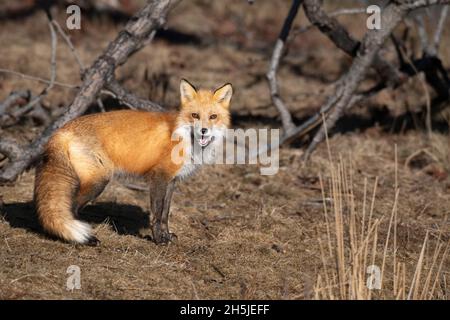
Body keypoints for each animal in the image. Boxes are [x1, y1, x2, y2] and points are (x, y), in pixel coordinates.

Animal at [34, 80, 232, 245]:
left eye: (213, 116)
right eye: (195, 115)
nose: (204, 131)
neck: (184, 139)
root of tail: (61, 130)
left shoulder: (172, 181)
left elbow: (165, 214)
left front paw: (167, 236)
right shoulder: (158, 177)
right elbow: (156, 214)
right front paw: (158, 240)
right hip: (99, 181)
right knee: (71, 208)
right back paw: (85, 239)